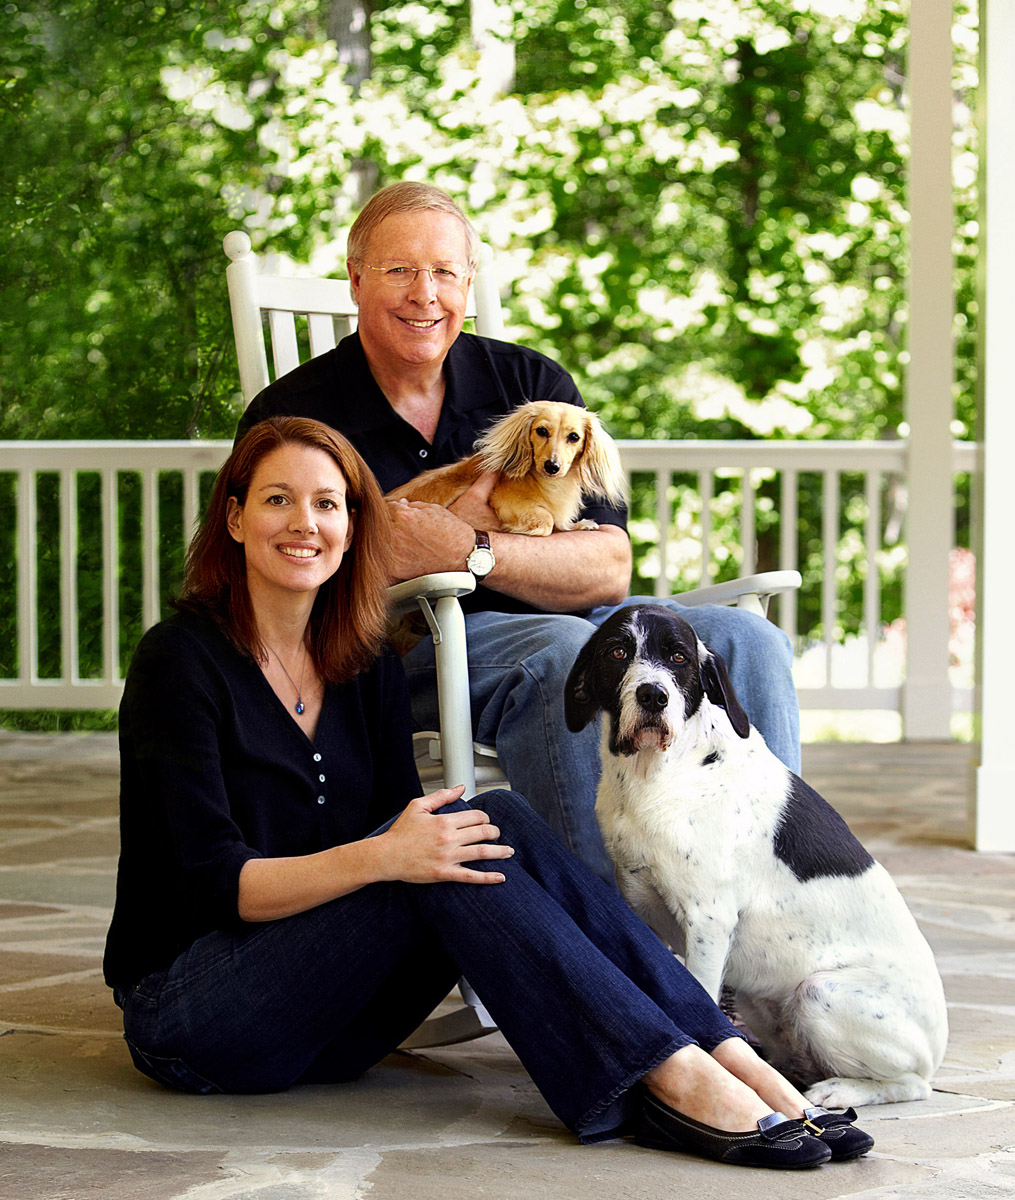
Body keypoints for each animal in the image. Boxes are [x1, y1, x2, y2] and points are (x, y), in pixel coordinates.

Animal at [568, 604, 950, 1108]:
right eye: (617, 652)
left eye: (678, 657)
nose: (653, 695)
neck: (657, 777)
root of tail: (939, 1046)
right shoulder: (639, 906)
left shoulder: (709, 921)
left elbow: (700, 1000)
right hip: (759, 996)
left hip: (820, 992)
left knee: (913, 1084)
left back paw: (839, 1090)